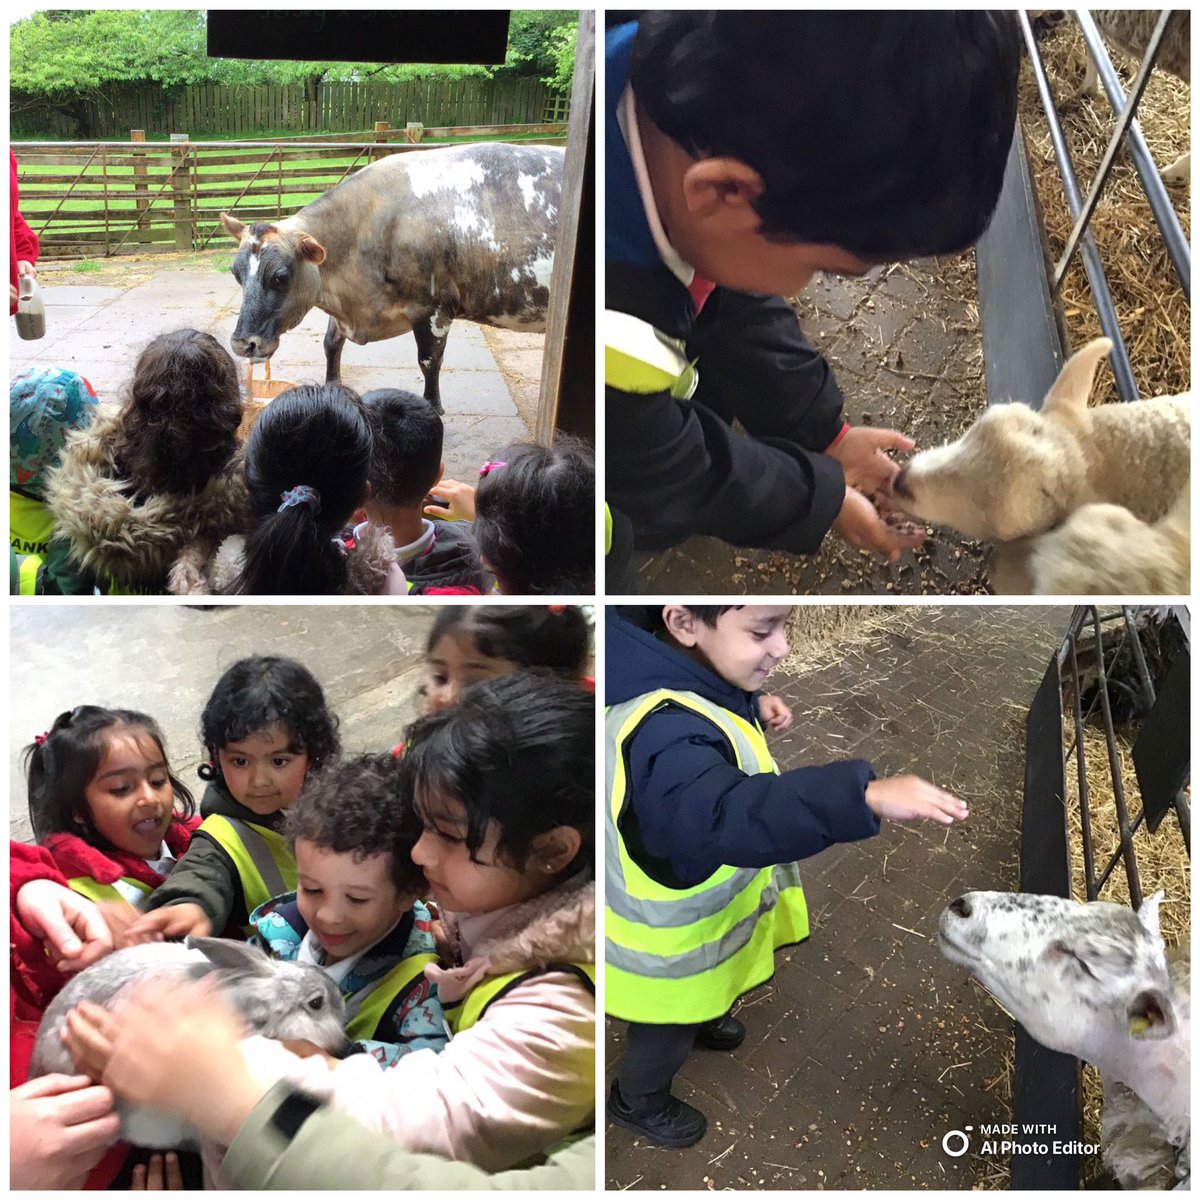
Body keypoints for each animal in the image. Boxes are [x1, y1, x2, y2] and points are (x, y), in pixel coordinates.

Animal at [222, 139, 561, 410]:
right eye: (236, 274)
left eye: (280, 277)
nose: (242, 344)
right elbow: (331, 344)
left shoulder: (434, 310)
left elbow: (429, 362)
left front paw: (433, 409)